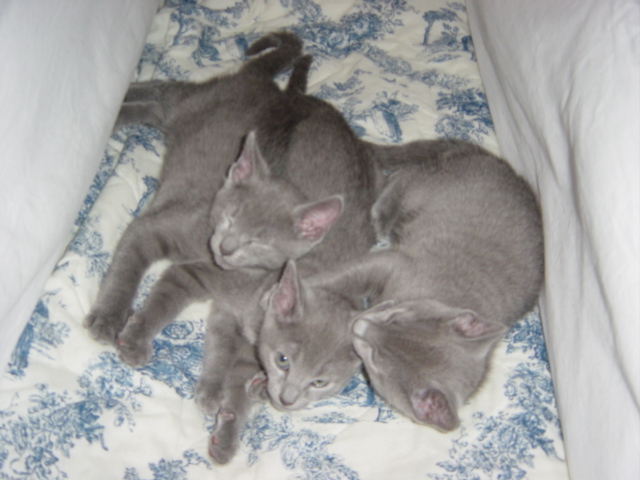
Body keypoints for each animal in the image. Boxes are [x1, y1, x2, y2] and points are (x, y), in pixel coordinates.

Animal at [263, 139, 544, 431]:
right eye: (395, 318)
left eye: (375, 358)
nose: (360, 325)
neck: (440, 295)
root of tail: (493, 160)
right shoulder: (394, 262)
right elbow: (343, 275)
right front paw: (272, 293)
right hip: (429, 188)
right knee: (404, 176)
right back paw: (379, 214)